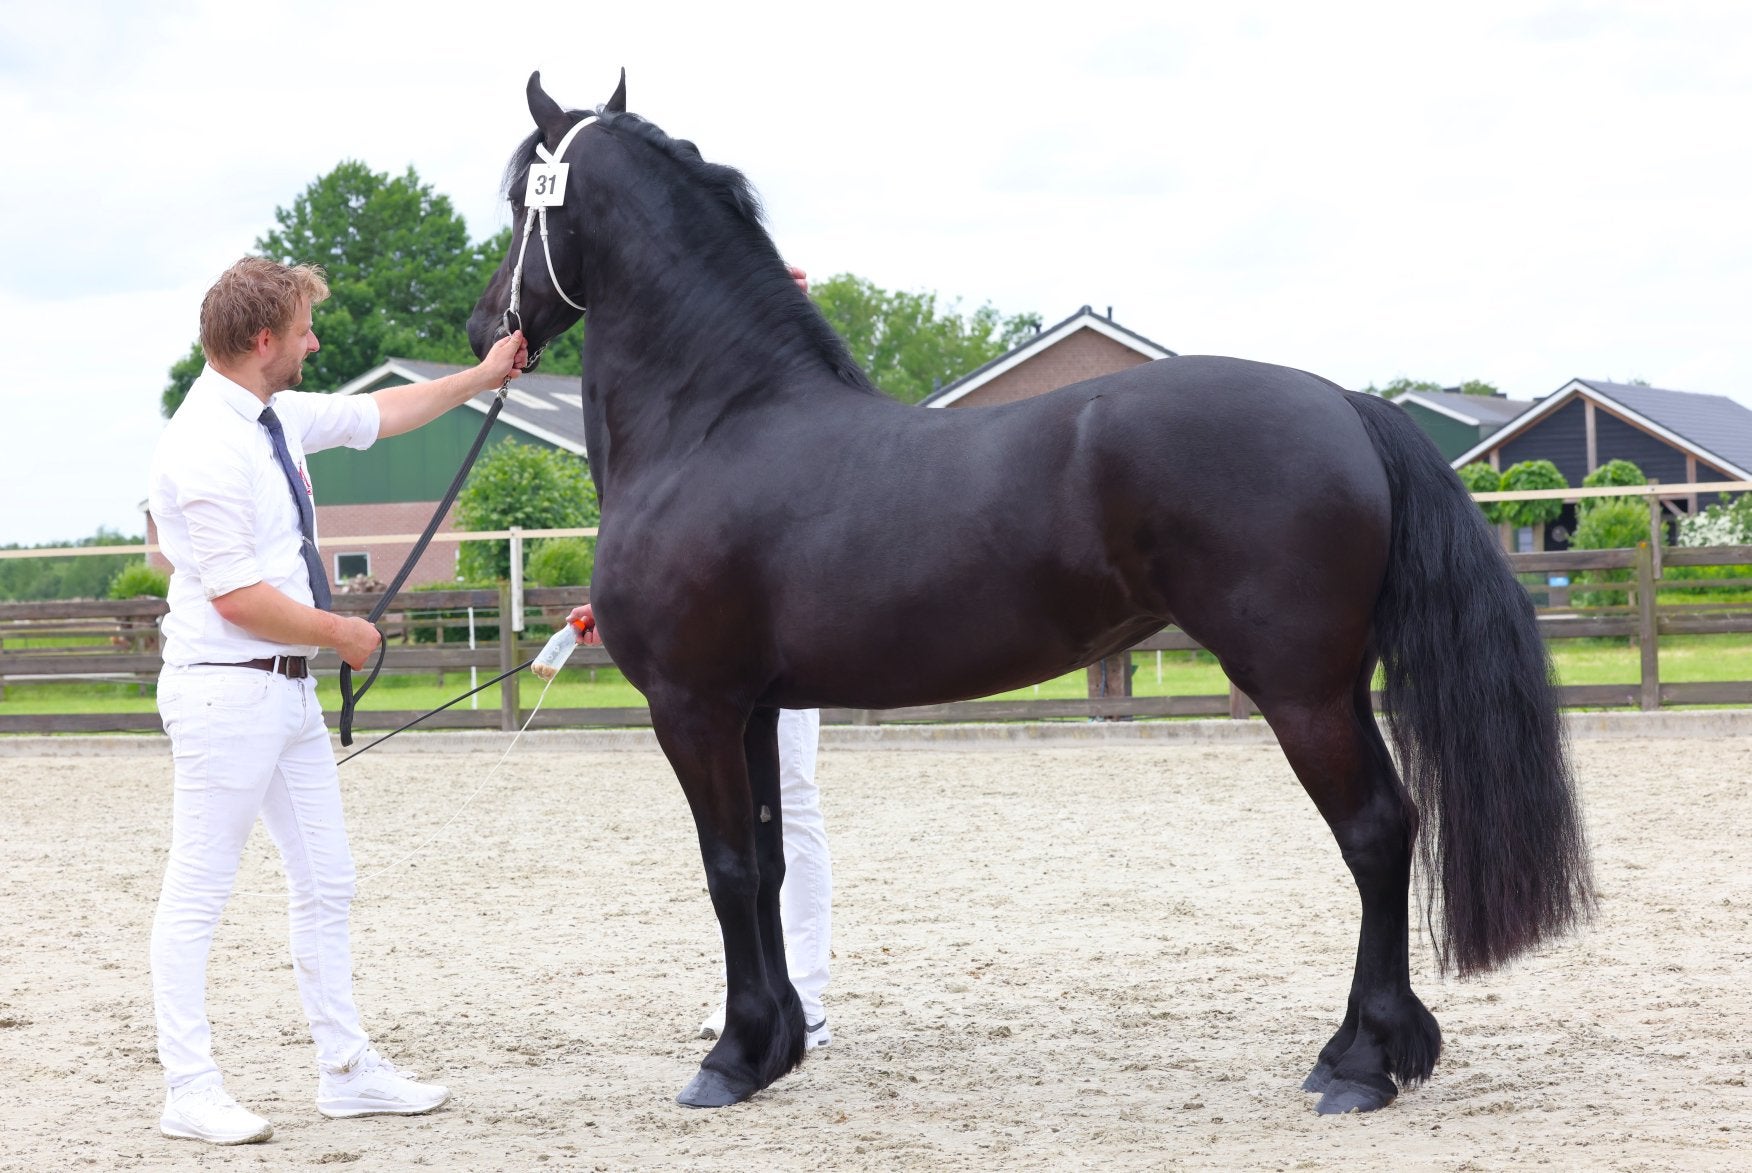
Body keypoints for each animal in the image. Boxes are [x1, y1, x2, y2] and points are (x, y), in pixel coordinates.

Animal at [467, 72, 1593, 1115]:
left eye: (523, 192)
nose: (488, 327)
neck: (716, 423)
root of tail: (1345, 404)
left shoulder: (691, 707)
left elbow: (728, 869)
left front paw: (732, 1061)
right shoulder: (752, 710)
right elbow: (773, 866)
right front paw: (776, 1044)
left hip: (1299, 690)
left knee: (1375, 835)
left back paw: (1363, 1066)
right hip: (1336, 686)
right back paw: (1356, 1050)